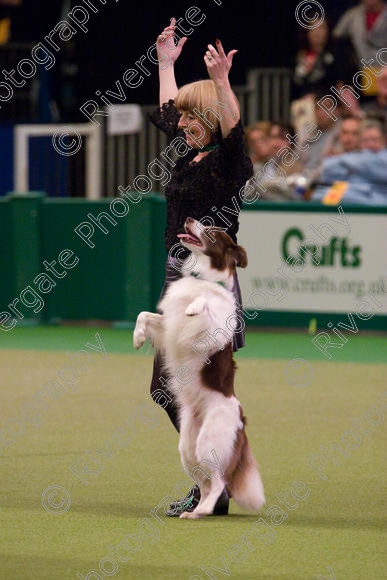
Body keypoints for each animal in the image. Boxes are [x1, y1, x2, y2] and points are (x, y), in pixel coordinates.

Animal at [134, 219, 266, 520]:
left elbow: (204, 305)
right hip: (188, 449)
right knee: (206, 483)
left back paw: (204, 510)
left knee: (219, 481)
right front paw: (138, 336)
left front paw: (195, 307)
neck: (203, 279)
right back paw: (195, 510)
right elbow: (144, 315)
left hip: (209, 441)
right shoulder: (169, 325)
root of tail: (242, 422)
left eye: (213, 232)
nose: (189, 220)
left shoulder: (212, 332)